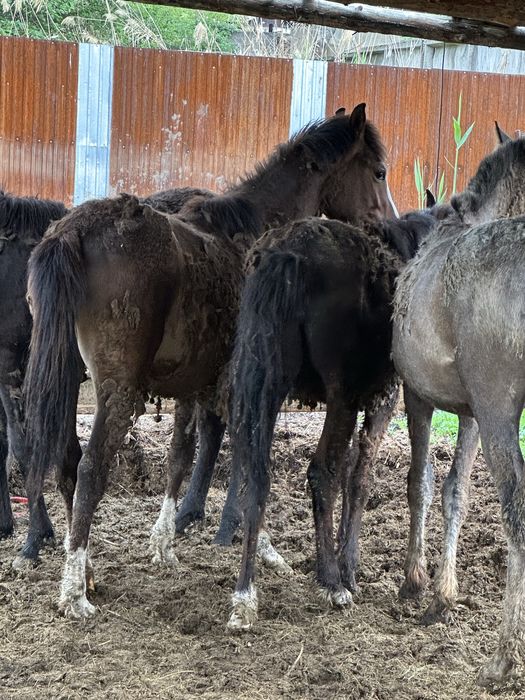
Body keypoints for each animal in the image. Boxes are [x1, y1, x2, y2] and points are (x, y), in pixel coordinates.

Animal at [22, 104, 397, 618]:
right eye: (378, 172)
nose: (389, 229)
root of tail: (71, 232)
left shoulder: (193, 385)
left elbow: (182, 456)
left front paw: (164, 543)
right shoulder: (247, 387)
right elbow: (247, 461)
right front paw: (263, 549)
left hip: (63, 376)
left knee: (65, 463)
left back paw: (88, 573)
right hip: (116, 391)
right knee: (90, 469)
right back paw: (75, 592)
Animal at [226, 208, 437, 631]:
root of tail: (285, 252)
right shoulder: (382, 397)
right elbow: (359, 476)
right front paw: (347, 568)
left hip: (262, 378)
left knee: (254, 472)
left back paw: (245, 596)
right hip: (340, 396)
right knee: (321, 471)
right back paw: (331, 582)